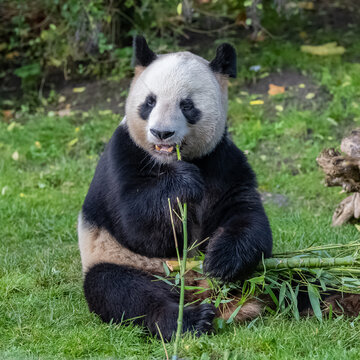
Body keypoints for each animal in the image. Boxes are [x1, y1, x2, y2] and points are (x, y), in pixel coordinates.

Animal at [79, 35, 272, 338]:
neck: (168, 161)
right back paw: (188, 319)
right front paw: (183, 183)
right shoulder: (122, 156)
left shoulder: (222, 160)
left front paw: (221, 261)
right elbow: (136, 225)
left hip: (261, 276)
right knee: (122, 290)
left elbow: (246, 215)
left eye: (187, 105)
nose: (162, 133)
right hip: (122, 260)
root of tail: (195, 288)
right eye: (149, 102)